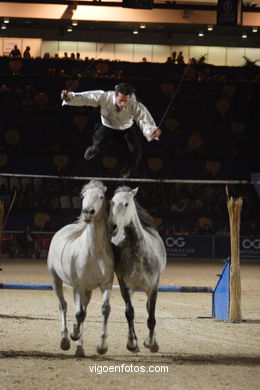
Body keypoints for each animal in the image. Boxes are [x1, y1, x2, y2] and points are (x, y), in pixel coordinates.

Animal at [47, 180, 114, 356]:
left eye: (101, 196)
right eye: (83, 196)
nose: (88, 212)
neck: (93, 253)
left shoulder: (106, 285)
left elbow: (104, 310)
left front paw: (101, 346)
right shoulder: (78, 286)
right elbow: (78, 313)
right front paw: (73, 334)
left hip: (88, 291)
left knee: (84, 311)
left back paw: (80, 348)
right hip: (56, 280)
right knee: (63, 306)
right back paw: (65, 340)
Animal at [107, 186, 167, 354]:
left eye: (126, 203)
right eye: (111, 203)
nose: (112, 226)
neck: (139, 252)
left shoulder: (153, 287)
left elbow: (151, 317)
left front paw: (152, 344)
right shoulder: (125, 286)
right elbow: (130, 313)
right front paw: (132, 343)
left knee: (148, 309)